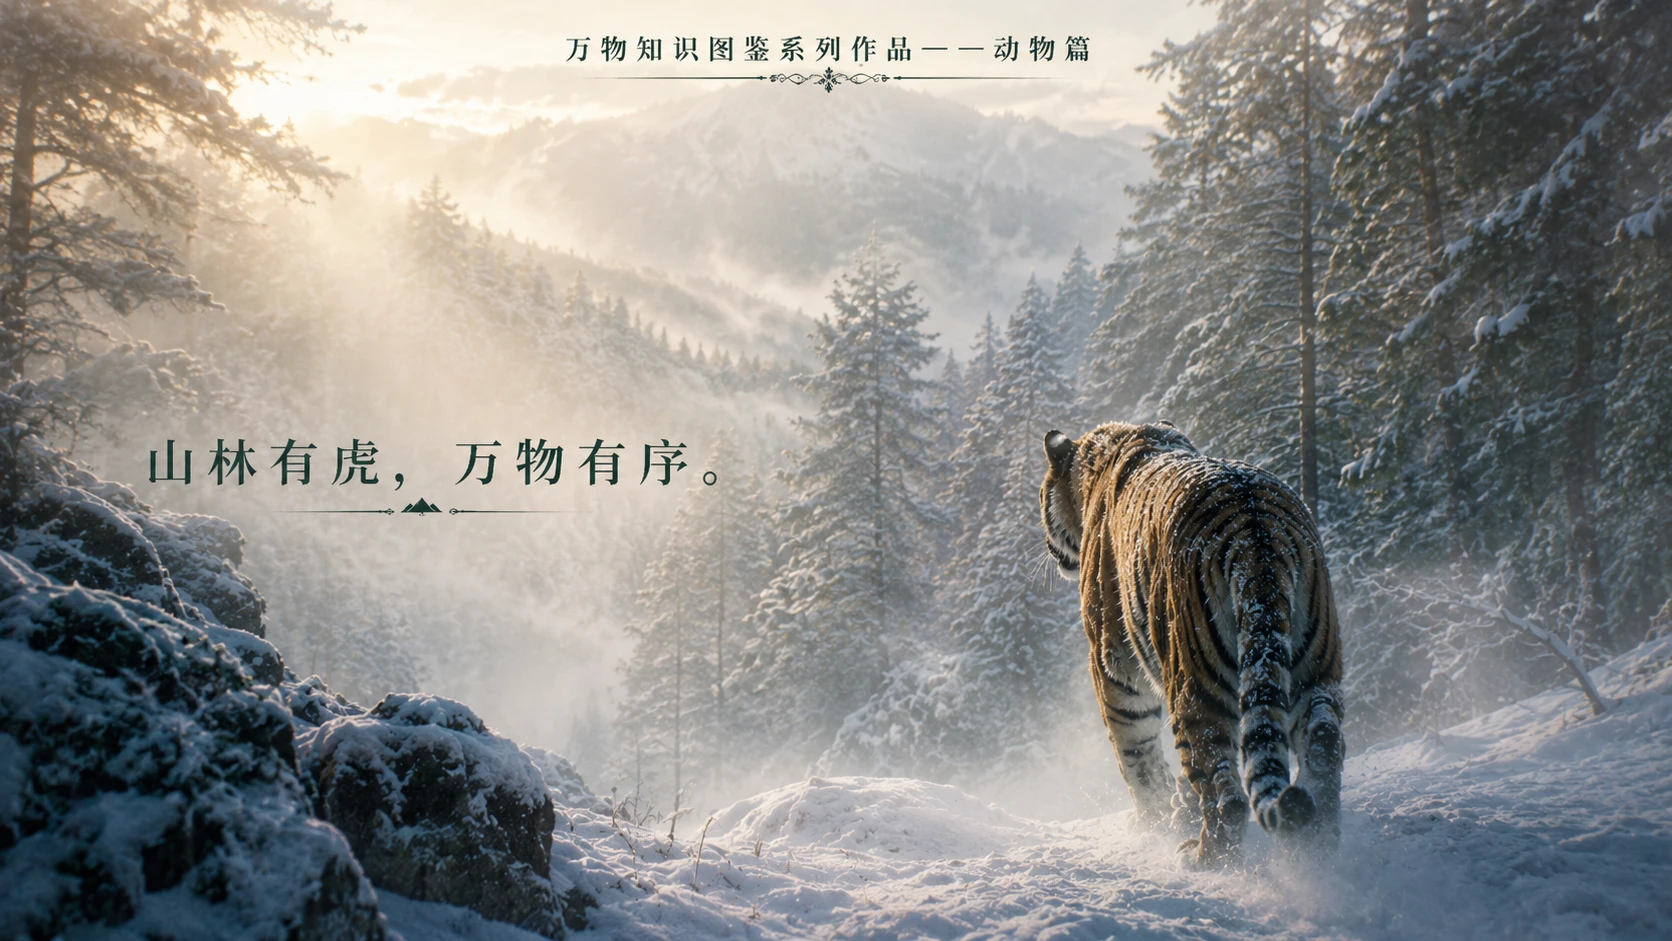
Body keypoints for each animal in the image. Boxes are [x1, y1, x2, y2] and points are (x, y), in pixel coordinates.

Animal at [1038, 421, 1344, 866]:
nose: (1048, 547)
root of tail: (1258, 532)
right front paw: (1176, 808)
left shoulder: (1114, 664)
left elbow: (1136, 756)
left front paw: (1153, 821)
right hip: (1316, 670)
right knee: (1324, 747)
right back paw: (1317, 849)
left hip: (1195, 682)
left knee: (1225, 794)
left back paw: (1203, 859)